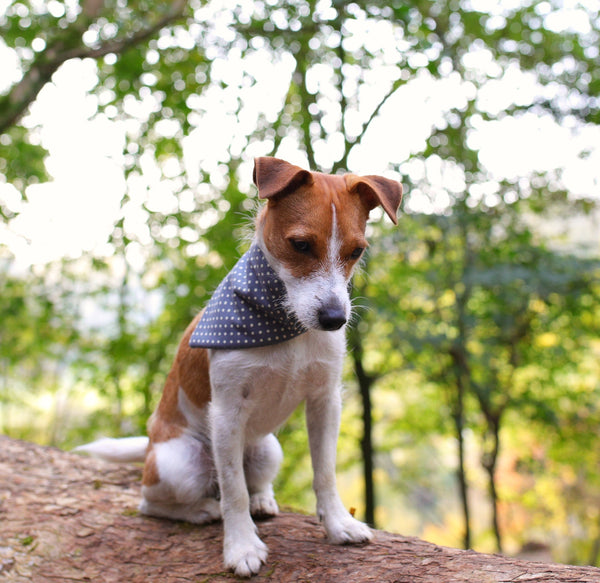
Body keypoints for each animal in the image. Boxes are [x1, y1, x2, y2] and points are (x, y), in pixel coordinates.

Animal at [76, 157, 404, 576]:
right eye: (300, 244)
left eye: (356, 251)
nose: (334, 319)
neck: (284, 325)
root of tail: (150, 444)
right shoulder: (227, 412)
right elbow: (233, 491)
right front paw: (241, 546)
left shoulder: (325, 401)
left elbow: (324, 473)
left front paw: (337, 524)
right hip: (180, 463)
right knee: (154, 502)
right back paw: (202, 509)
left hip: (268, 448)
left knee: (255, 482)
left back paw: (262, 500)